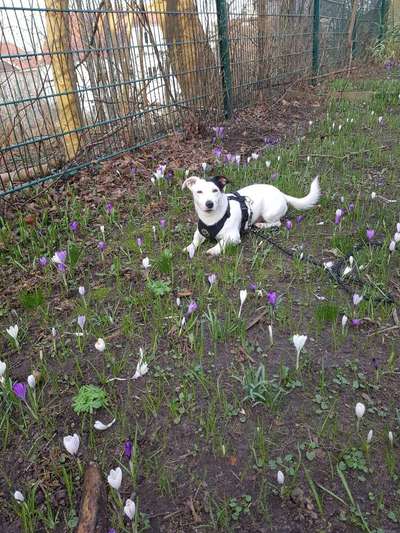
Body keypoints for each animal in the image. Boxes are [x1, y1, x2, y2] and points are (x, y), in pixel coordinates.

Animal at [183, 175, 320, 256]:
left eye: (215, 190)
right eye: (199, 192)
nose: (209, 203)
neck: (212, 219)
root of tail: (281, 193)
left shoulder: (233, 237)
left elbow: (221, 242)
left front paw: (213, 250)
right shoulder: (200, 232)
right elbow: (195, 241)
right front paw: (190, 248)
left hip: (268, 213)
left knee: (277, 223)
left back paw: (261, 225)